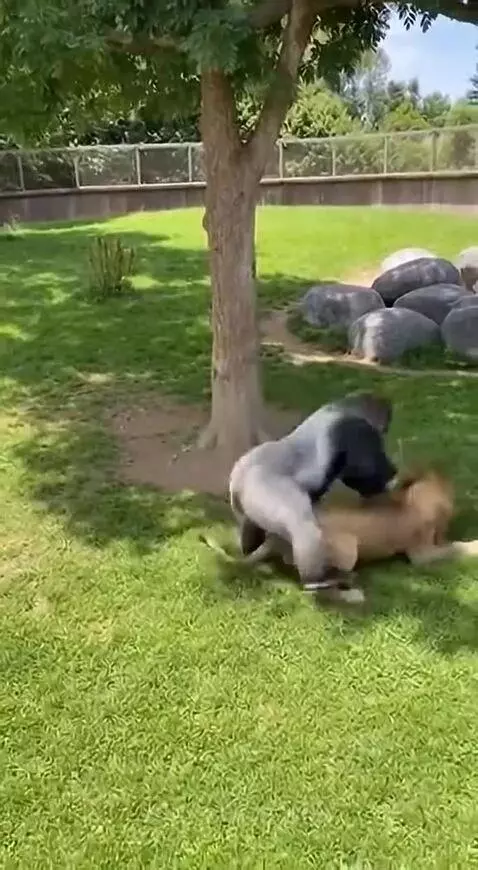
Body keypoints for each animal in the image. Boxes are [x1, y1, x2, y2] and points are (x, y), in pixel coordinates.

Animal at [229, 391, 397, 592]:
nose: (386, 427)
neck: (345, 408)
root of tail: (238, 479)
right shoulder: (355, 432)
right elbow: (363, 473)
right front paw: (386, 482)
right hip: (264, 488)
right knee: (304, 528)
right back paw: (316, 580)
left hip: (241, 499)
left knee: (248, 524)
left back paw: (252, 550)